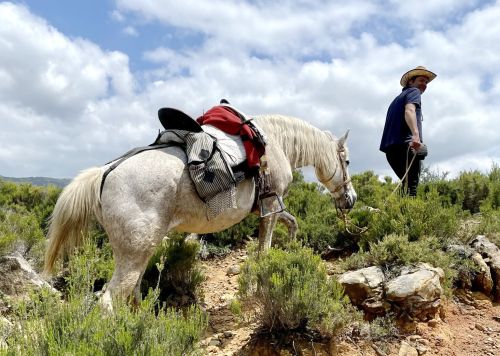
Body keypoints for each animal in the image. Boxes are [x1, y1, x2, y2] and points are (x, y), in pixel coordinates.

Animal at [43, 113, 356, 308]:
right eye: (347, 162)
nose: (350, 199)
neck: (275, 144)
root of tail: (105, 172)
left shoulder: (270, 209)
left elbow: (292, 225)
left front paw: (289, 251)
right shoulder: (270, 207)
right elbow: (264, 251)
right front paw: (260, 287)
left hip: (140, 250)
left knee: (132, 293)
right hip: (133, 253)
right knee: (110, 301)